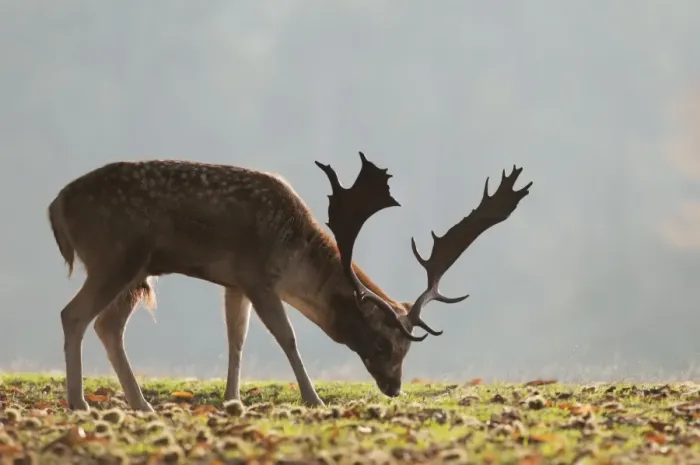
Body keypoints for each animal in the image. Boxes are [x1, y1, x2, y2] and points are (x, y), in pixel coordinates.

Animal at [47, 152, 532, 412]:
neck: (294, 253)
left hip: (136, 271)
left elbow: (236, 339)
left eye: (408, 349)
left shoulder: (235, 282)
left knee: (107, 326)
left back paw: (140, 402)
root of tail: (56, 206)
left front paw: (232, 400)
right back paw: (80, 401)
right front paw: (313, 398)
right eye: (382, 344)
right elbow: (287, 337)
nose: (394, 388)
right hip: (115, 256)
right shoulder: (258, 277)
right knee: (73, 315)